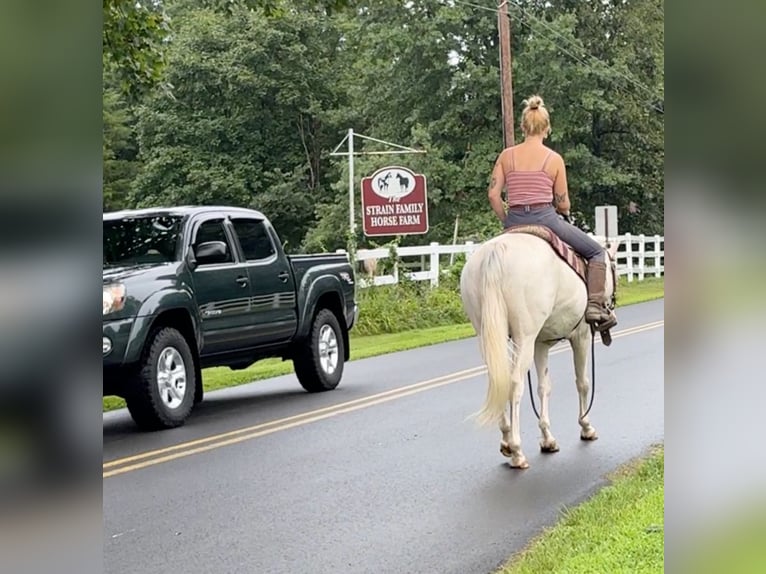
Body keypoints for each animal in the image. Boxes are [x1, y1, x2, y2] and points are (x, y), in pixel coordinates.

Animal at [462, 232, 616, 470]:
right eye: (614, 266)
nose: (610, 306)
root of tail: (495, 253)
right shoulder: (580, 336)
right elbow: (582, 383)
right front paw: (586, 427)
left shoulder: (540, 344)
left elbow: (544, 387)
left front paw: (547, 439)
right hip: (524, 338)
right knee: (514, 384)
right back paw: (517, 451)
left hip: (487, 337)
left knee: (499, 380)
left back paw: (506, 441)